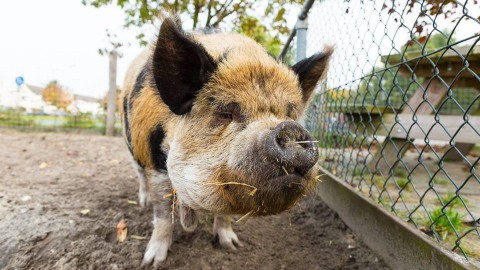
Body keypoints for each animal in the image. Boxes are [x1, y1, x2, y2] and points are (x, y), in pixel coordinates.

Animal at [120, 14, 330, 266]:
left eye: (290, 114)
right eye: (227, 113)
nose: (289, 129)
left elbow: (225, 213)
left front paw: (231, 245)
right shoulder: (156, 163)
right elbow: (162, 214)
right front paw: (152, 261)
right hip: (131, 145)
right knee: (139, 174)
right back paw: (143, 203)